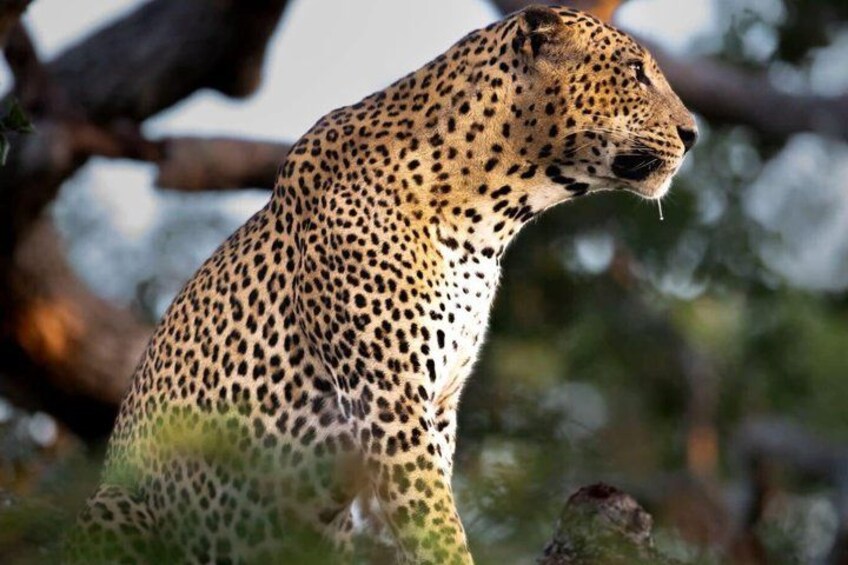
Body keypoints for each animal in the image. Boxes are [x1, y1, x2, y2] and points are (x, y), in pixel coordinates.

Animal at [68, 5, 697, 564]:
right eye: (636, 72)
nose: (692, 134)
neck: (490, 219)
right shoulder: (389, 398)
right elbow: (435, 526)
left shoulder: (439, 407)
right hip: (114, 505)